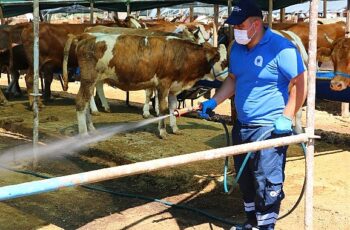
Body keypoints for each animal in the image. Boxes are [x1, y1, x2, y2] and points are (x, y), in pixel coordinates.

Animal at [70, 33, 228, 138]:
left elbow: (173, 108)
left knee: (86, 104)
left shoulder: (173, 88)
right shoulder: (163, 84)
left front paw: (175, 128)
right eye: (224, 62)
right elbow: (163, 109)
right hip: (88, 79)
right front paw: (163, 132)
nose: (230, 77)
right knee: (81, 102)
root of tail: (87, 38)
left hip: (91, 82)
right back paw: (83, 134)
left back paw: (91, 128)